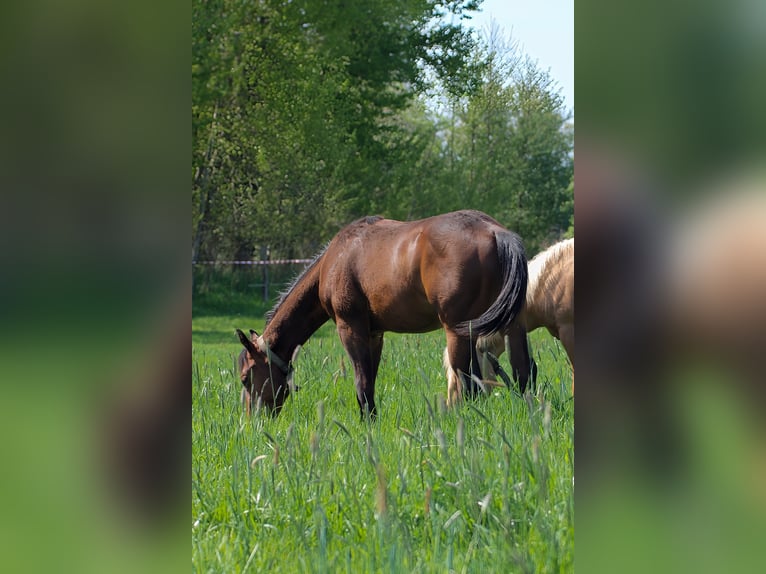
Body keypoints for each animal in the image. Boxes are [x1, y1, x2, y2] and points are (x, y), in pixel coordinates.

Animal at [236, 210, 531, 418]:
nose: (253, 419)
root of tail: (495, 232)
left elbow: (362, 382)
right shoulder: (374, 334)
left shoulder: (350, 328)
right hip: (512, 326)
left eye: (245, 378)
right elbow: (371, 379)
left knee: (466, 384)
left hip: (457, 332)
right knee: (523, 371)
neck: (335, 260)